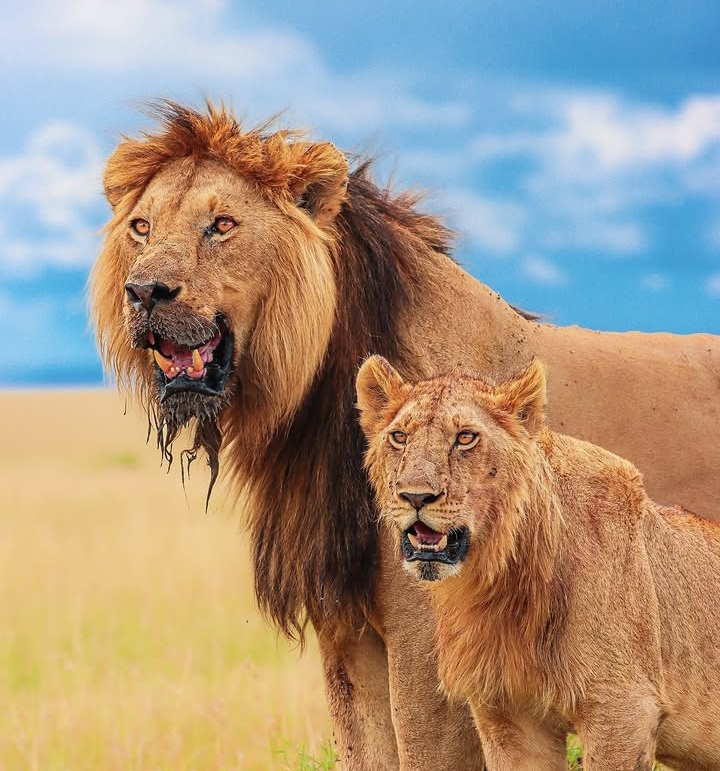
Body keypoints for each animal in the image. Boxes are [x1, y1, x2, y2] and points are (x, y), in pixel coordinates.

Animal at [357, 355, 720, 771]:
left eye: (465, 437)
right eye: (399, 437)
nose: (415, 496)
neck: (498, 582)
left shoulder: (624, 707)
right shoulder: (508, 717)